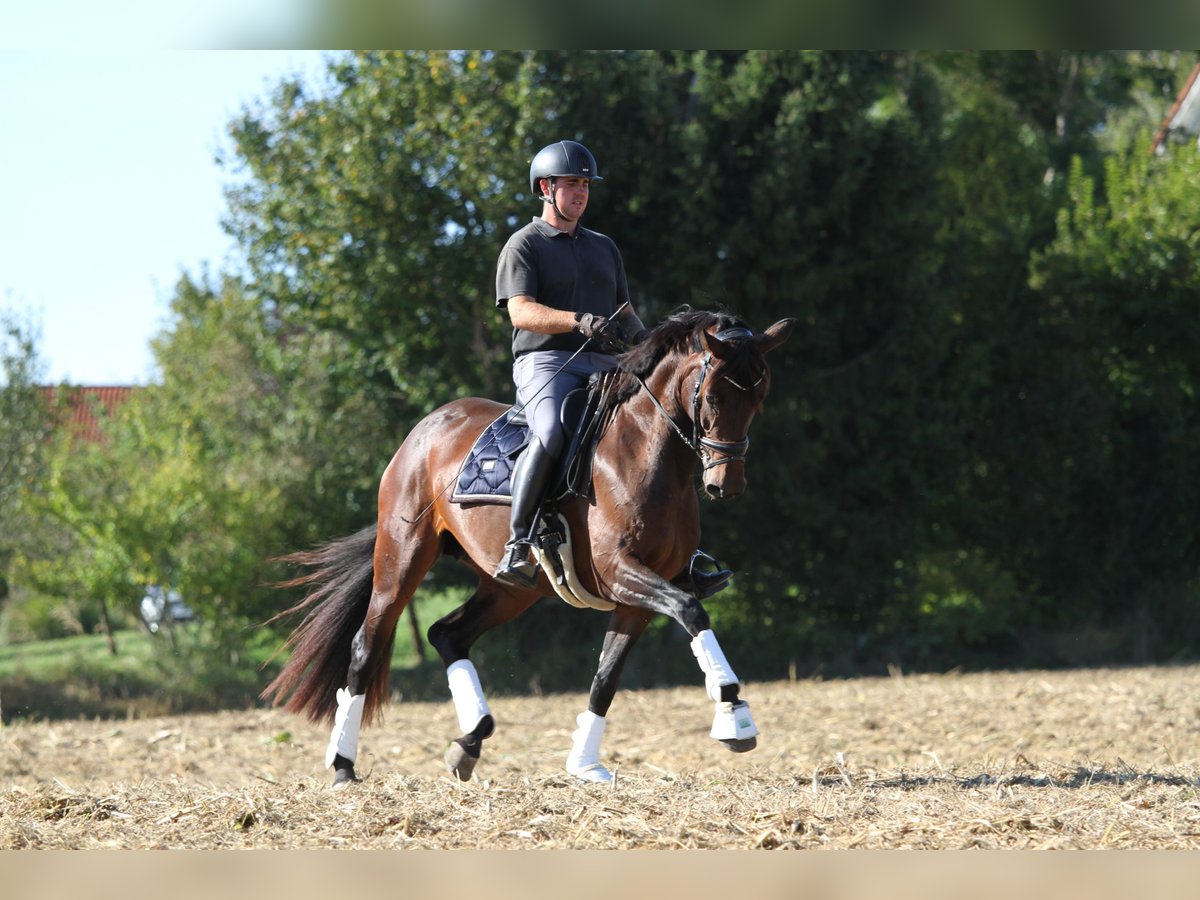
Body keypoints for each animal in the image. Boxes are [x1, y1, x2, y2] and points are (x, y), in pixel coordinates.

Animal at [260, 307, 796, 787]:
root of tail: (427, 427)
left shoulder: (639, 596)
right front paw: (734, 713)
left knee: (447, 634)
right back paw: (343, 767)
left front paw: (585, 764)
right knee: (366, 647)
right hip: (402, 560)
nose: (727, 485)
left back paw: (469, 741)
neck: (644, 452)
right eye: (715, 395)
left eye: (760, 396)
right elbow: (691, 611)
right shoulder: (620, 571)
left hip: (512, 589)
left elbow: (606, 677)